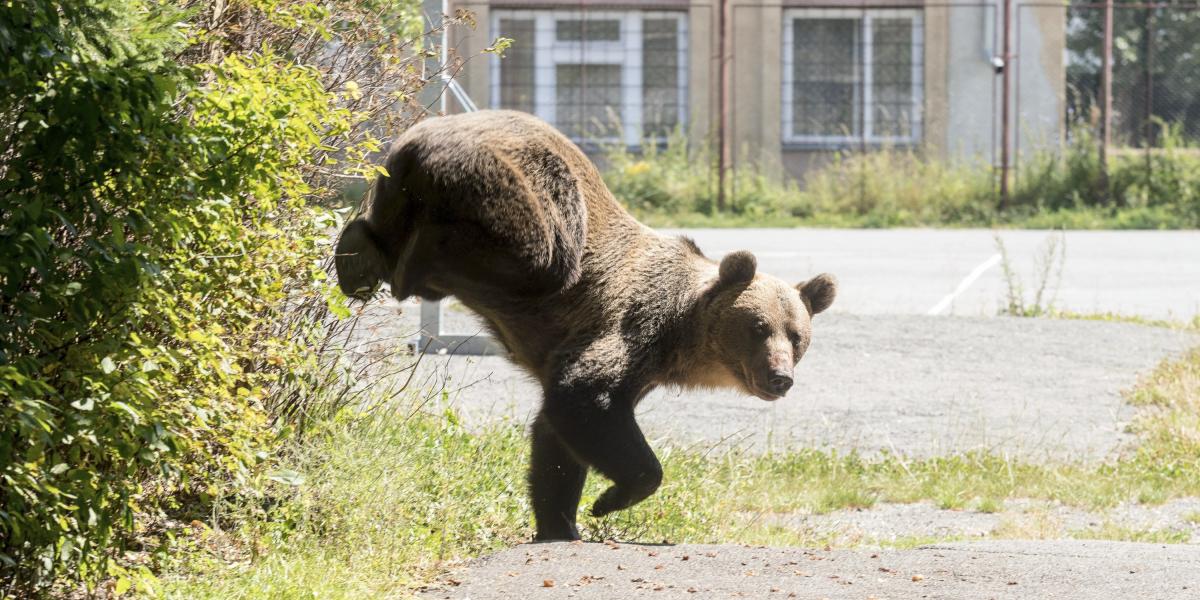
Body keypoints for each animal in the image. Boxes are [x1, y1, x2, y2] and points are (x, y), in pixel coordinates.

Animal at [333, 110, 830, 542]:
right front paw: (607, 501)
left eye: (797, 337)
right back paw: (409, 263)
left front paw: (561, 521)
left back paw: (356, 256)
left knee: (383, 227)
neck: (680, 336)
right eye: (758, 327)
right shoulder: (632, 323)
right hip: (523, 192)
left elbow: (555, 439)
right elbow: (584, 395)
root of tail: (420, 138)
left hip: (395, 183)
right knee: (538, 253)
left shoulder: (643, 369)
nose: (780, 377)